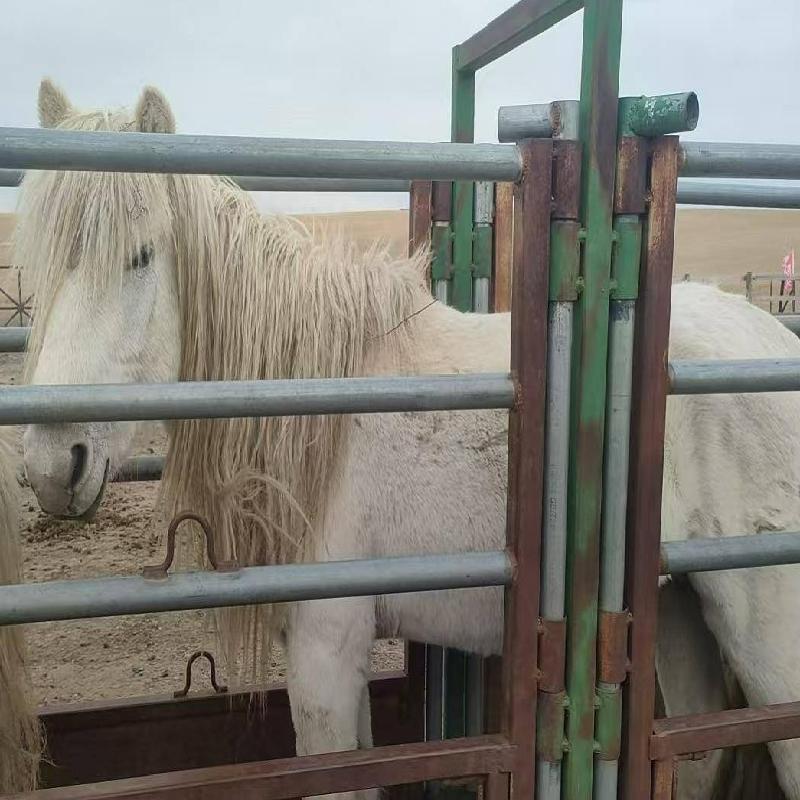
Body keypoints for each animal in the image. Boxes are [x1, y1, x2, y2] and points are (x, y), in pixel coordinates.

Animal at [16, 79, 800, 799]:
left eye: (142, 256)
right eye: (46, 264)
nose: (55, 466)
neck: (314, 403)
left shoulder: (325, 649)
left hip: (764, 628)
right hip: (679, 607)